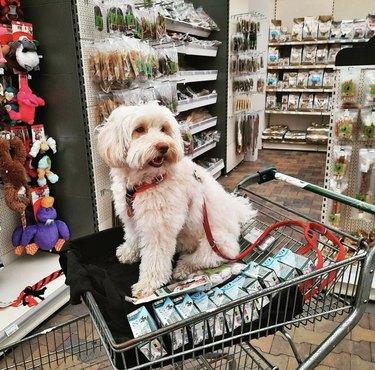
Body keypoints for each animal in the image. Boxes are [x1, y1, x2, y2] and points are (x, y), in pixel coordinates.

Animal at [97, 103, 258, 298]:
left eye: (164, 129)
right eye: (139, 129)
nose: (163, 146)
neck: (146, 181)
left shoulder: (158, 227)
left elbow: (155, 258)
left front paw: (148, 284)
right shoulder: (133, 218)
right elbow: (133, 236)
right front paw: (128, 252)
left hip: (216, 243)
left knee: (202, 259)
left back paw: (183, 268)